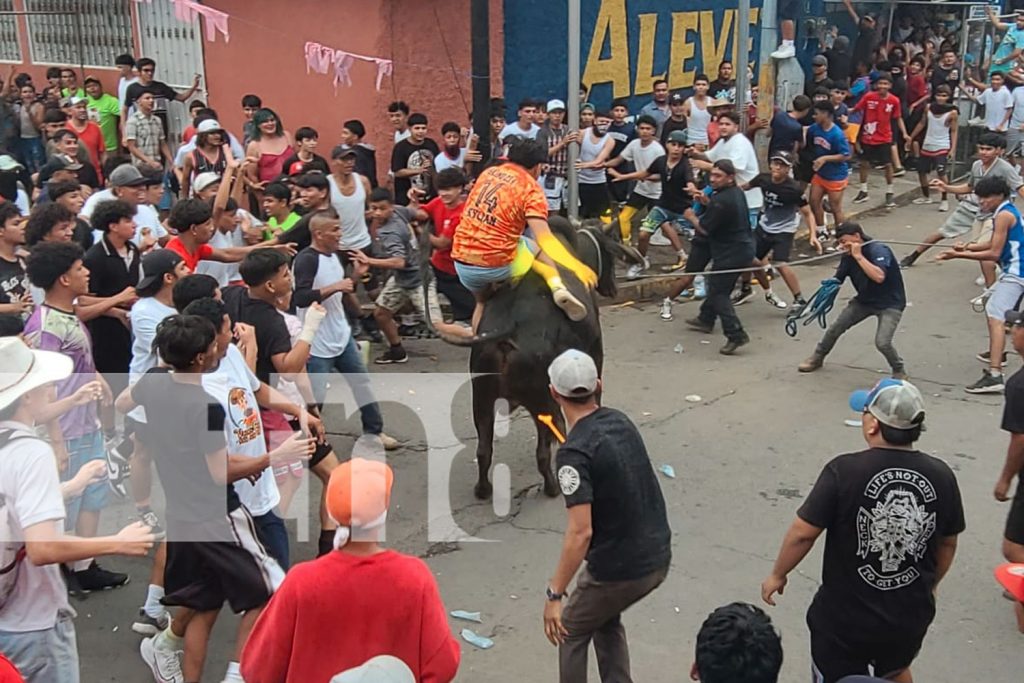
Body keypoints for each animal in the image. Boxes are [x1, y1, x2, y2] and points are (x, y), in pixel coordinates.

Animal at [419, 216, 634, 499]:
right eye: (611, 247)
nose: (614, 287)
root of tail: (507, 332)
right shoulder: (594, 359)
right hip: (542, 401)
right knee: (543, 450)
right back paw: (553, 487)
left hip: (482, 399)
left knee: (484, 450)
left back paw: (483, 489)